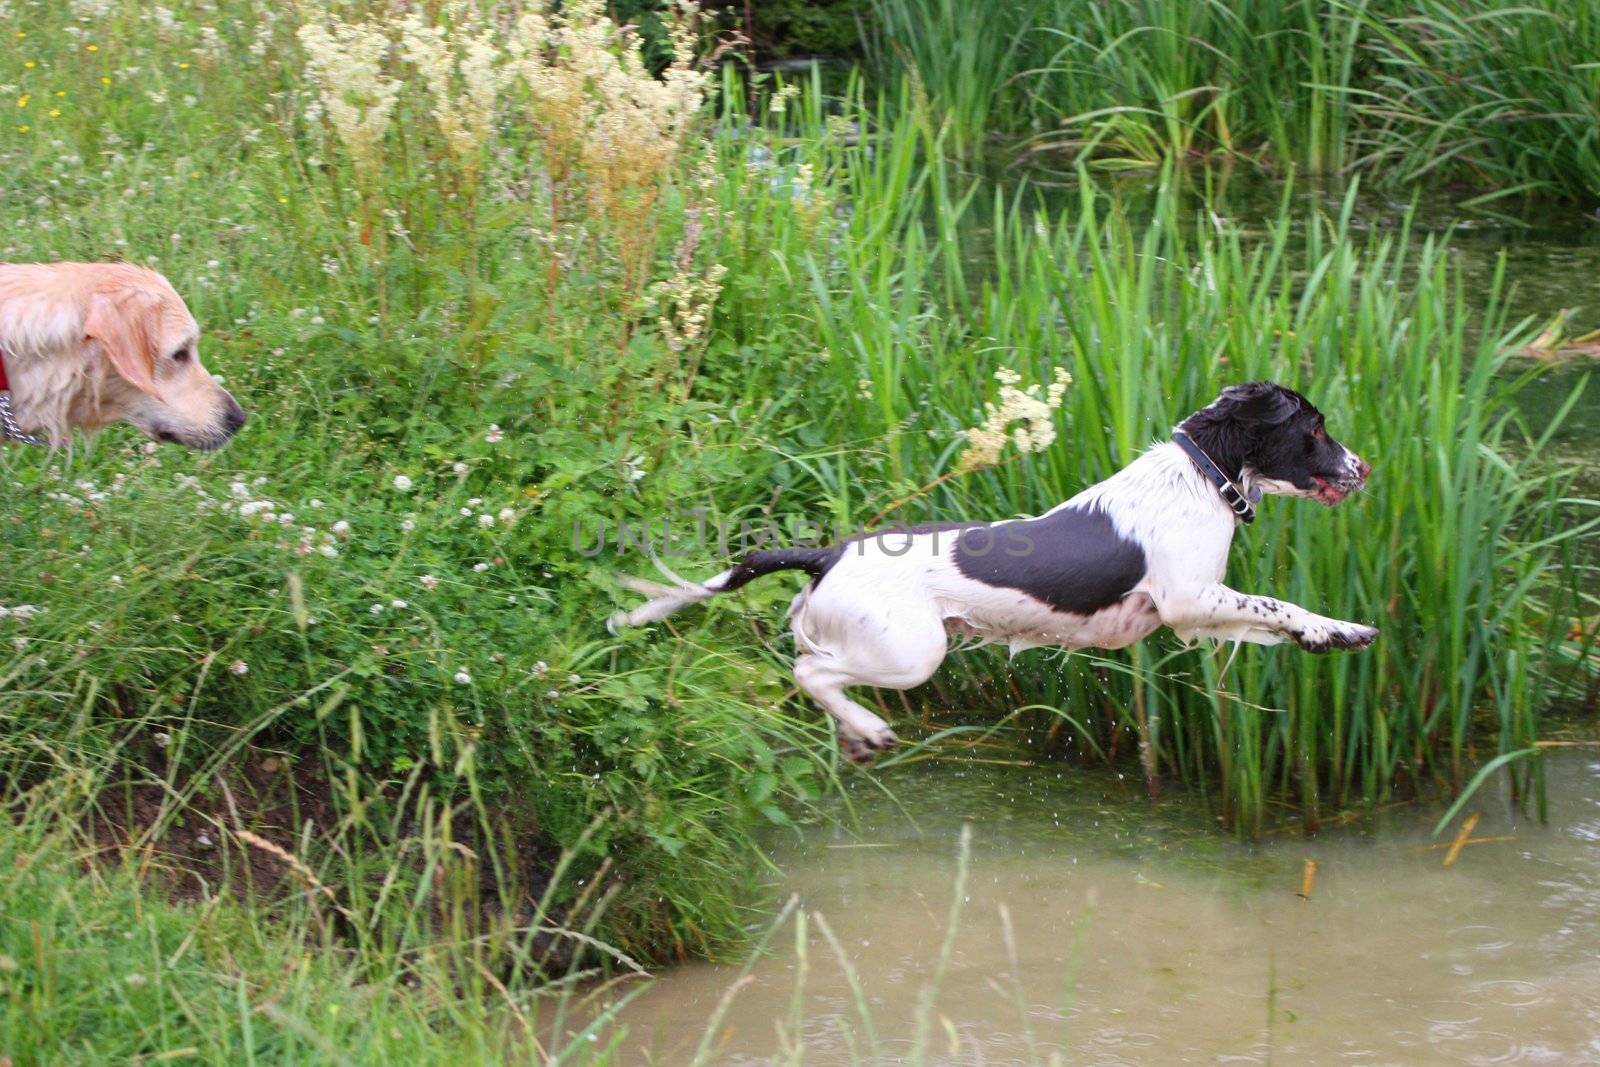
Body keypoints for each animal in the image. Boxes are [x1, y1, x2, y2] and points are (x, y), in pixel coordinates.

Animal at [608, 382, 1376, 758]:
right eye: (1313, 430)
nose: (1363, 467)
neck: (1201, 476)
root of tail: (828, 553)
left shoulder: (1194, 616)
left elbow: (1271, 621)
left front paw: (1330, 635)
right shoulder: (1189, 598)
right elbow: (1278, 605)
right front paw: (1340, 629)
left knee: (813, 675)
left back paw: (856, 735)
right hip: (912, 651)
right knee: (810, 673)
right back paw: (871, 728)